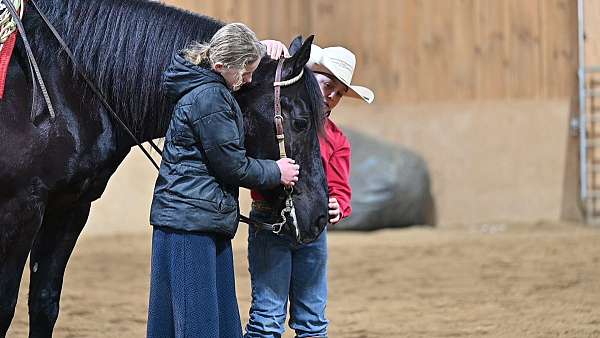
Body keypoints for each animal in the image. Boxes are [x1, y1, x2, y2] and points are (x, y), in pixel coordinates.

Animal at [0, 0, 328, 336]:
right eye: (301, 122)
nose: (319, 216)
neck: (62, 85)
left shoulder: (70, 207)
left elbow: (44, 302)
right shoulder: (20, 209)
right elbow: (5, 307)